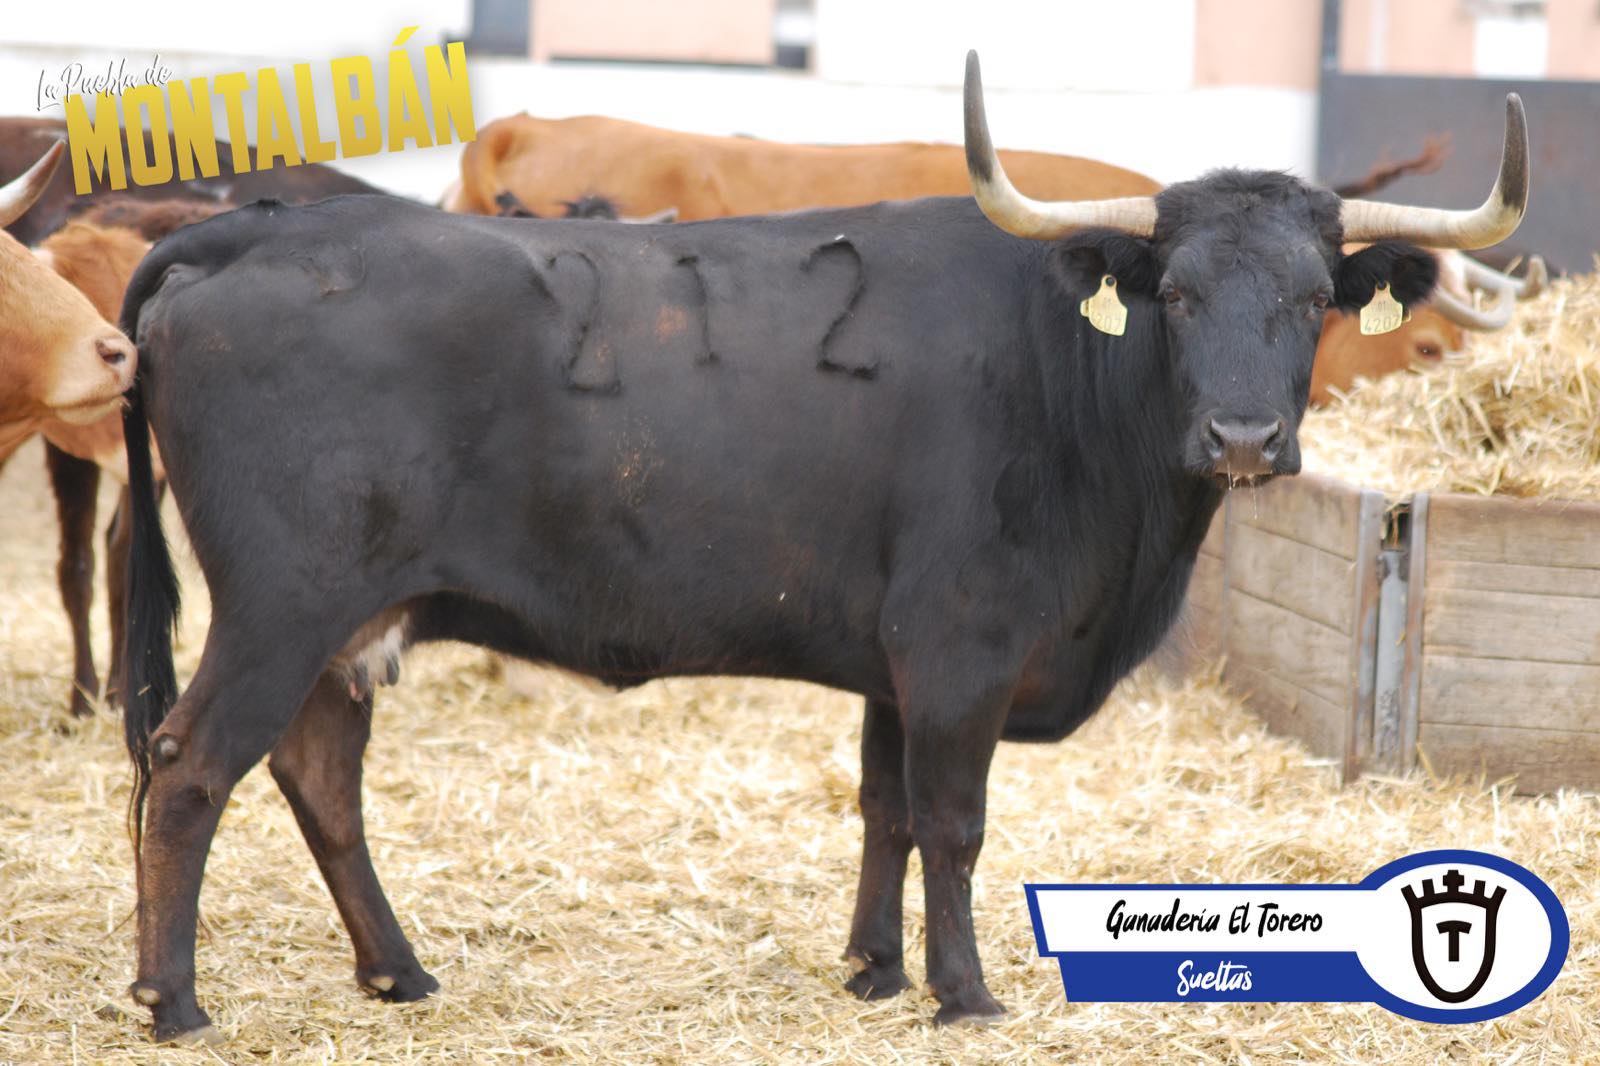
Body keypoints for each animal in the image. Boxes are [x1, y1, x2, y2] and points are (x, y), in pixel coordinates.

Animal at [115, 54, 1526, 1043]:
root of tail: (253, 225)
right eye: (1174, 294)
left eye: (1313, 300)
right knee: (189, 770)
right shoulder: (958, 648)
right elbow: (951, 823)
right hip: (283, 603)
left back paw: (397, 972)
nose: (1241, 434)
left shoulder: (891, 662)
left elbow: (882, 811)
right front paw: (963, 993)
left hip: (343, 622)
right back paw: (173, 1000)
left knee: (318, 777)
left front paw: (874, 969)